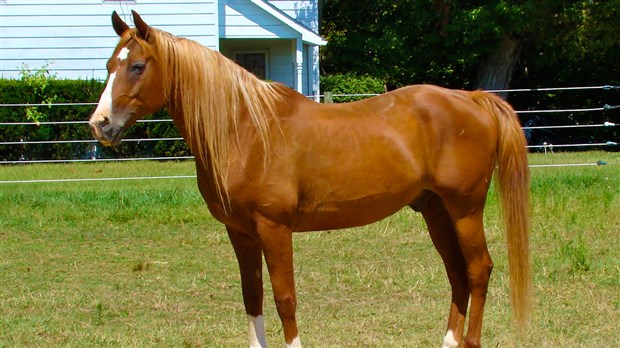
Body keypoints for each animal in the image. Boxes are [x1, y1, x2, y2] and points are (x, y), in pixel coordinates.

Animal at [88, 11, 532, 348]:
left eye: (137, 66)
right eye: (109, 65)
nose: (100, 124)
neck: (246, 129)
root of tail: (472, 98)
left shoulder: (274, 228)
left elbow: (285, 298)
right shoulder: (241, 232)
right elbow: (253, 296)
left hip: (465, 209)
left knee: (478, 270)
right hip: (436, 211)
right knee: (457, 274)